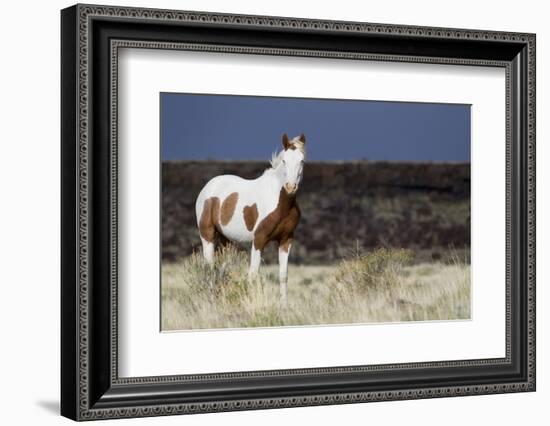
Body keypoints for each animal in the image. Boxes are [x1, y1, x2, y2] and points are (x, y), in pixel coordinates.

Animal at [194, 133, 306, 302]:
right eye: (284, 160)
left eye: (302, 161)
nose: (290, 187)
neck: (280, 201)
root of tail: (208, 187)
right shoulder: (259, 239)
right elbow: (253, 275)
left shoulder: (286, 240)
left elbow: (283, 276)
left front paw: (284, 305)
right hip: (207, 236)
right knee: (209, 270)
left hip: (226, 241)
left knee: (221, 271)